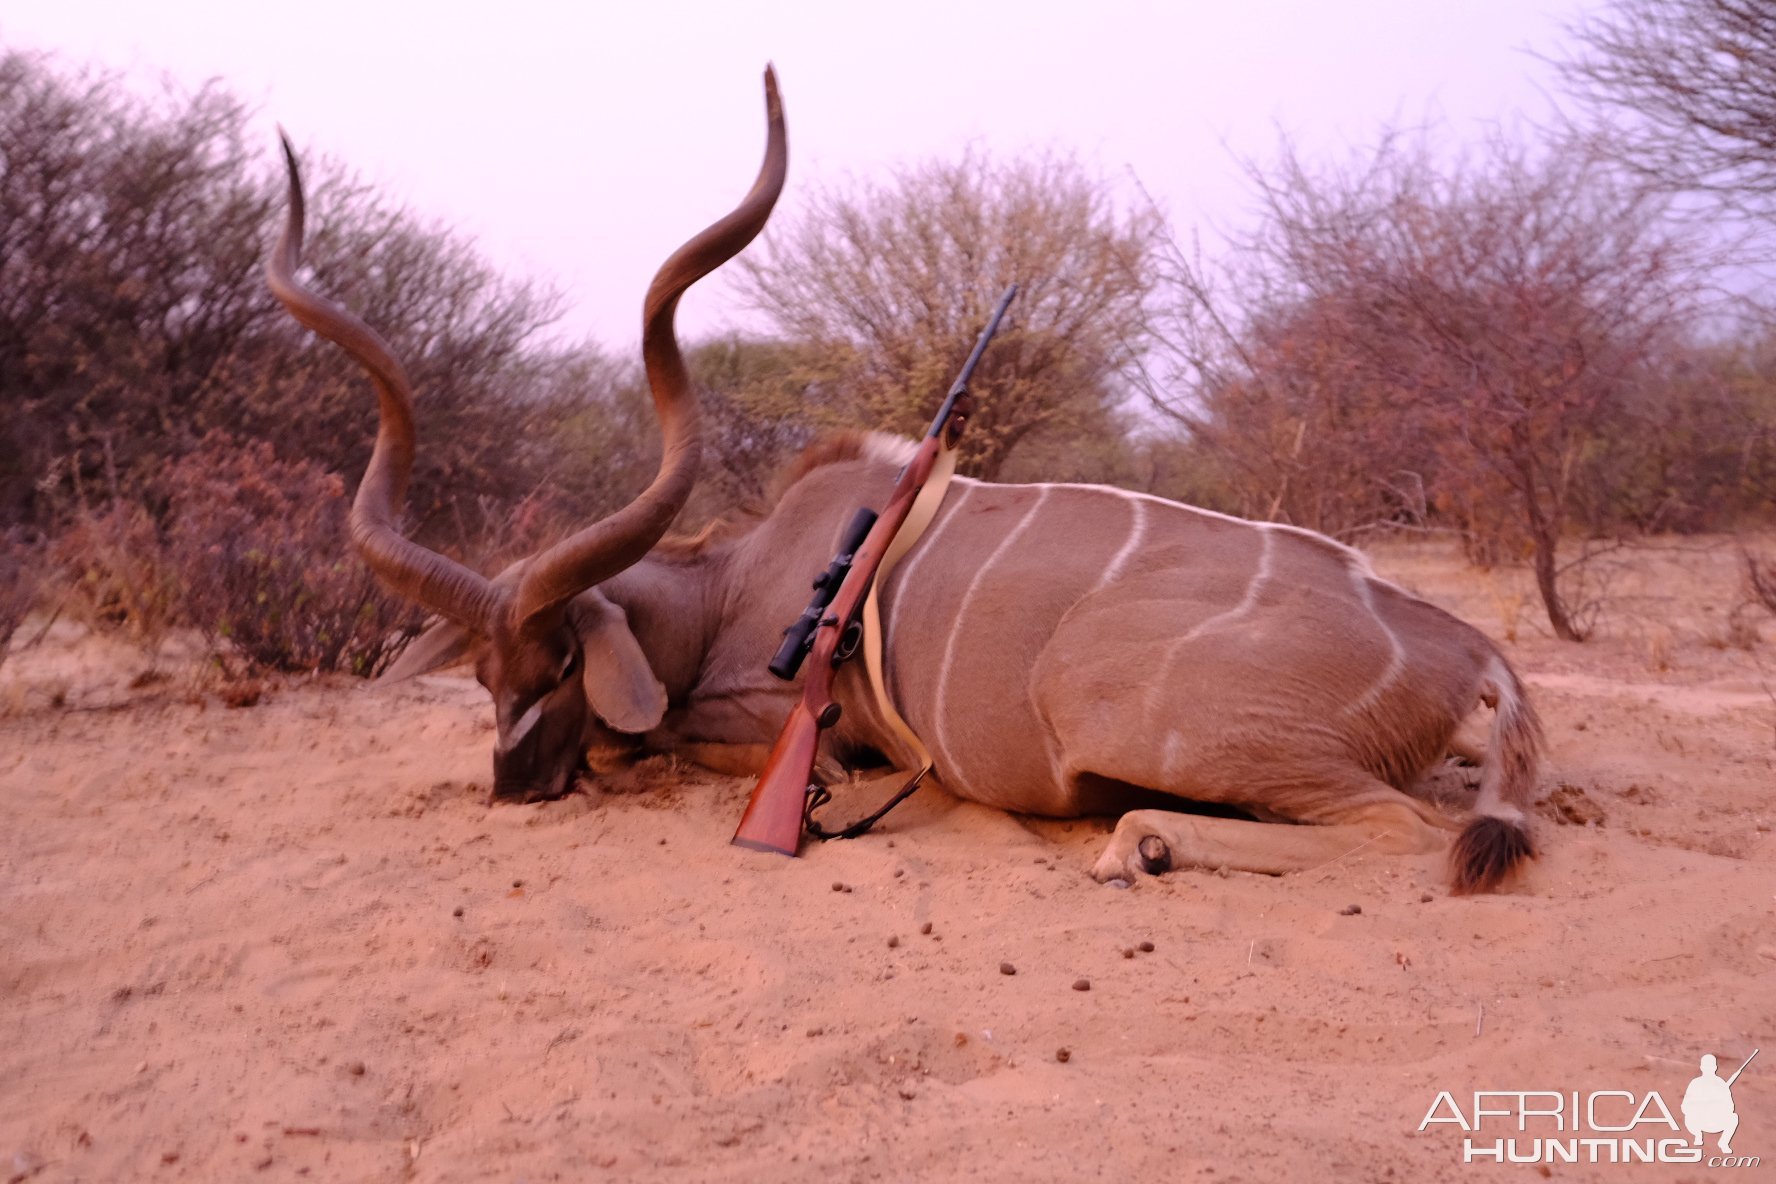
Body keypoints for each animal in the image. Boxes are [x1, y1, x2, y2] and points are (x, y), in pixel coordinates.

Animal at [266, 71, 1541, 887]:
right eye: (485, 673)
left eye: (566, 662)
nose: (513, 784)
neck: (735, 581)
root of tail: (1465, 646)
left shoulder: (788, 726)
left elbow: (675, 740)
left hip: (1122, 705)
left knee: (1399, 826)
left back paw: (1144, 842)